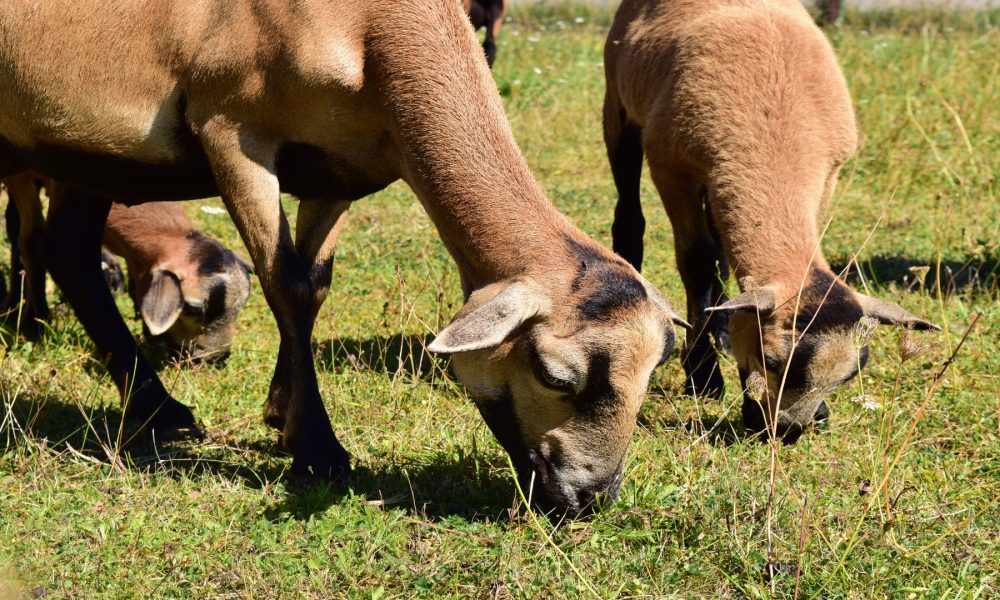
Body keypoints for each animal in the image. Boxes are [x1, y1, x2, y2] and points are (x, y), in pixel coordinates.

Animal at [0, 0, 687, 516]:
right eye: (553, 375)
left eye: (653, 375)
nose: (590, 500)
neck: (373, 29)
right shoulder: (232, 131)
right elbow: (286, 285)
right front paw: (318, 451)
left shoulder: (337, 169)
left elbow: (314, 288)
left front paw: (281, 415)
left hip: (83, 147)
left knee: (69, 252)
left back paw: (157, 410)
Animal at [604, 0, 937, 442]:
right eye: (772, 359)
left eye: (851, 374)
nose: (787, 431)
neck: (777, 135)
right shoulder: (672, 168)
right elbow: (696, 262)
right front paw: (703, 377)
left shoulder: (826, 176)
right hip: (618, 105)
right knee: (630, 216)